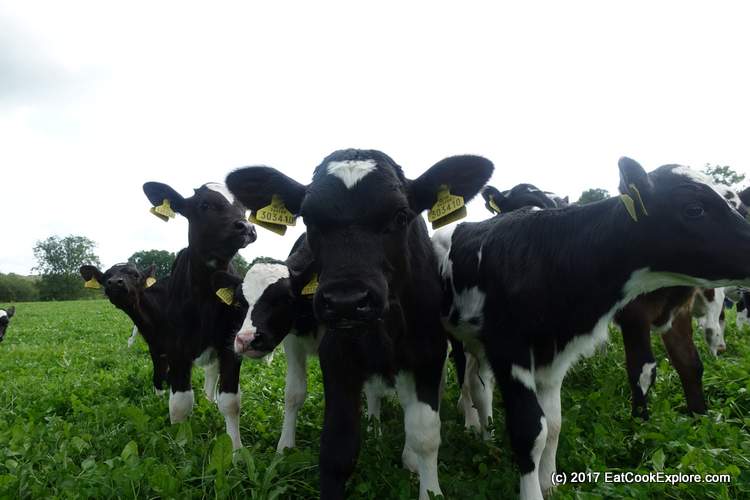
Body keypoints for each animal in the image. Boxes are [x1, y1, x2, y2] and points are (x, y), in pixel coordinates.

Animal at [142, 181, 256, 450]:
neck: (205, 299)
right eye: (204, 205)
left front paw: (236, 450)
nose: (246, 227)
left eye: (244, 208)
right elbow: (180, 403)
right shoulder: (176, 349)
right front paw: (180, 444)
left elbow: (231, 402)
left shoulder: (230, 345)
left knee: (211, 372)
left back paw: (208, 399)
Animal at [225, 149, 493, 500]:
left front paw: (427, 484)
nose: (346, 301)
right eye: (309, 219)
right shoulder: (332, 353)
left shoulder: (428, 352)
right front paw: (286, 449)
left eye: (401, 216)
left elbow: (425, 433)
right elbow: (331, 438)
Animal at [432, 158, 750, 500]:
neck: (546, 257)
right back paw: (473, 424)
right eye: (694, 209)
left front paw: (550, 483)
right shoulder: (510, 350)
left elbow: (553, 423)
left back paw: (486, 433)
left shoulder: (555, 354)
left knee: (480, 385)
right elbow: (530, 429)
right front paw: (532, 490)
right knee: (469, 382)